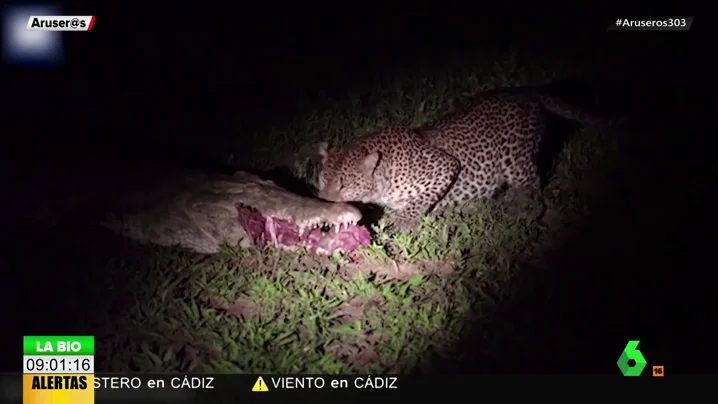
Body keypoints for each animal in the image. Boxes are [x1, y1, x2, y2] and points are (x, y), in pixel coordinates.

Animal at [316, 85, 612, 230]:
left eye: (343, 185)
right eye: (322, 182)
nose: (324, 203)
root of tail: (525, 91)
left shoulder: (445, 167)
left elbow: (419, 201)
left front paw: (404, 222)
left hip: (516, 160)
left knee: (532, 183)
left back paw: (520, 208)